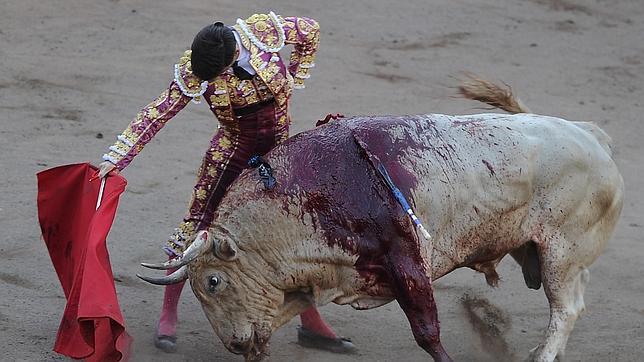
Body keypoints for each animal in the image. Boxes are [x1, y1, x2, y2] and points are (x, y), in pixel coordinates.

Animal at [137, 80, 624, 362]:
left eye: (214, 282)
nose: (235, 343)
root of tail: (591, 136)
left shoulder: (405, 262)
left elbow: (427, 332)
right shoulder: (314, 278)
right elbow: (283, 315)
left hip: (561, 253)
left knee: (565, 309)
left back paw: (542, 354)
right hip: (544, 253)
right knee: (570, 305)